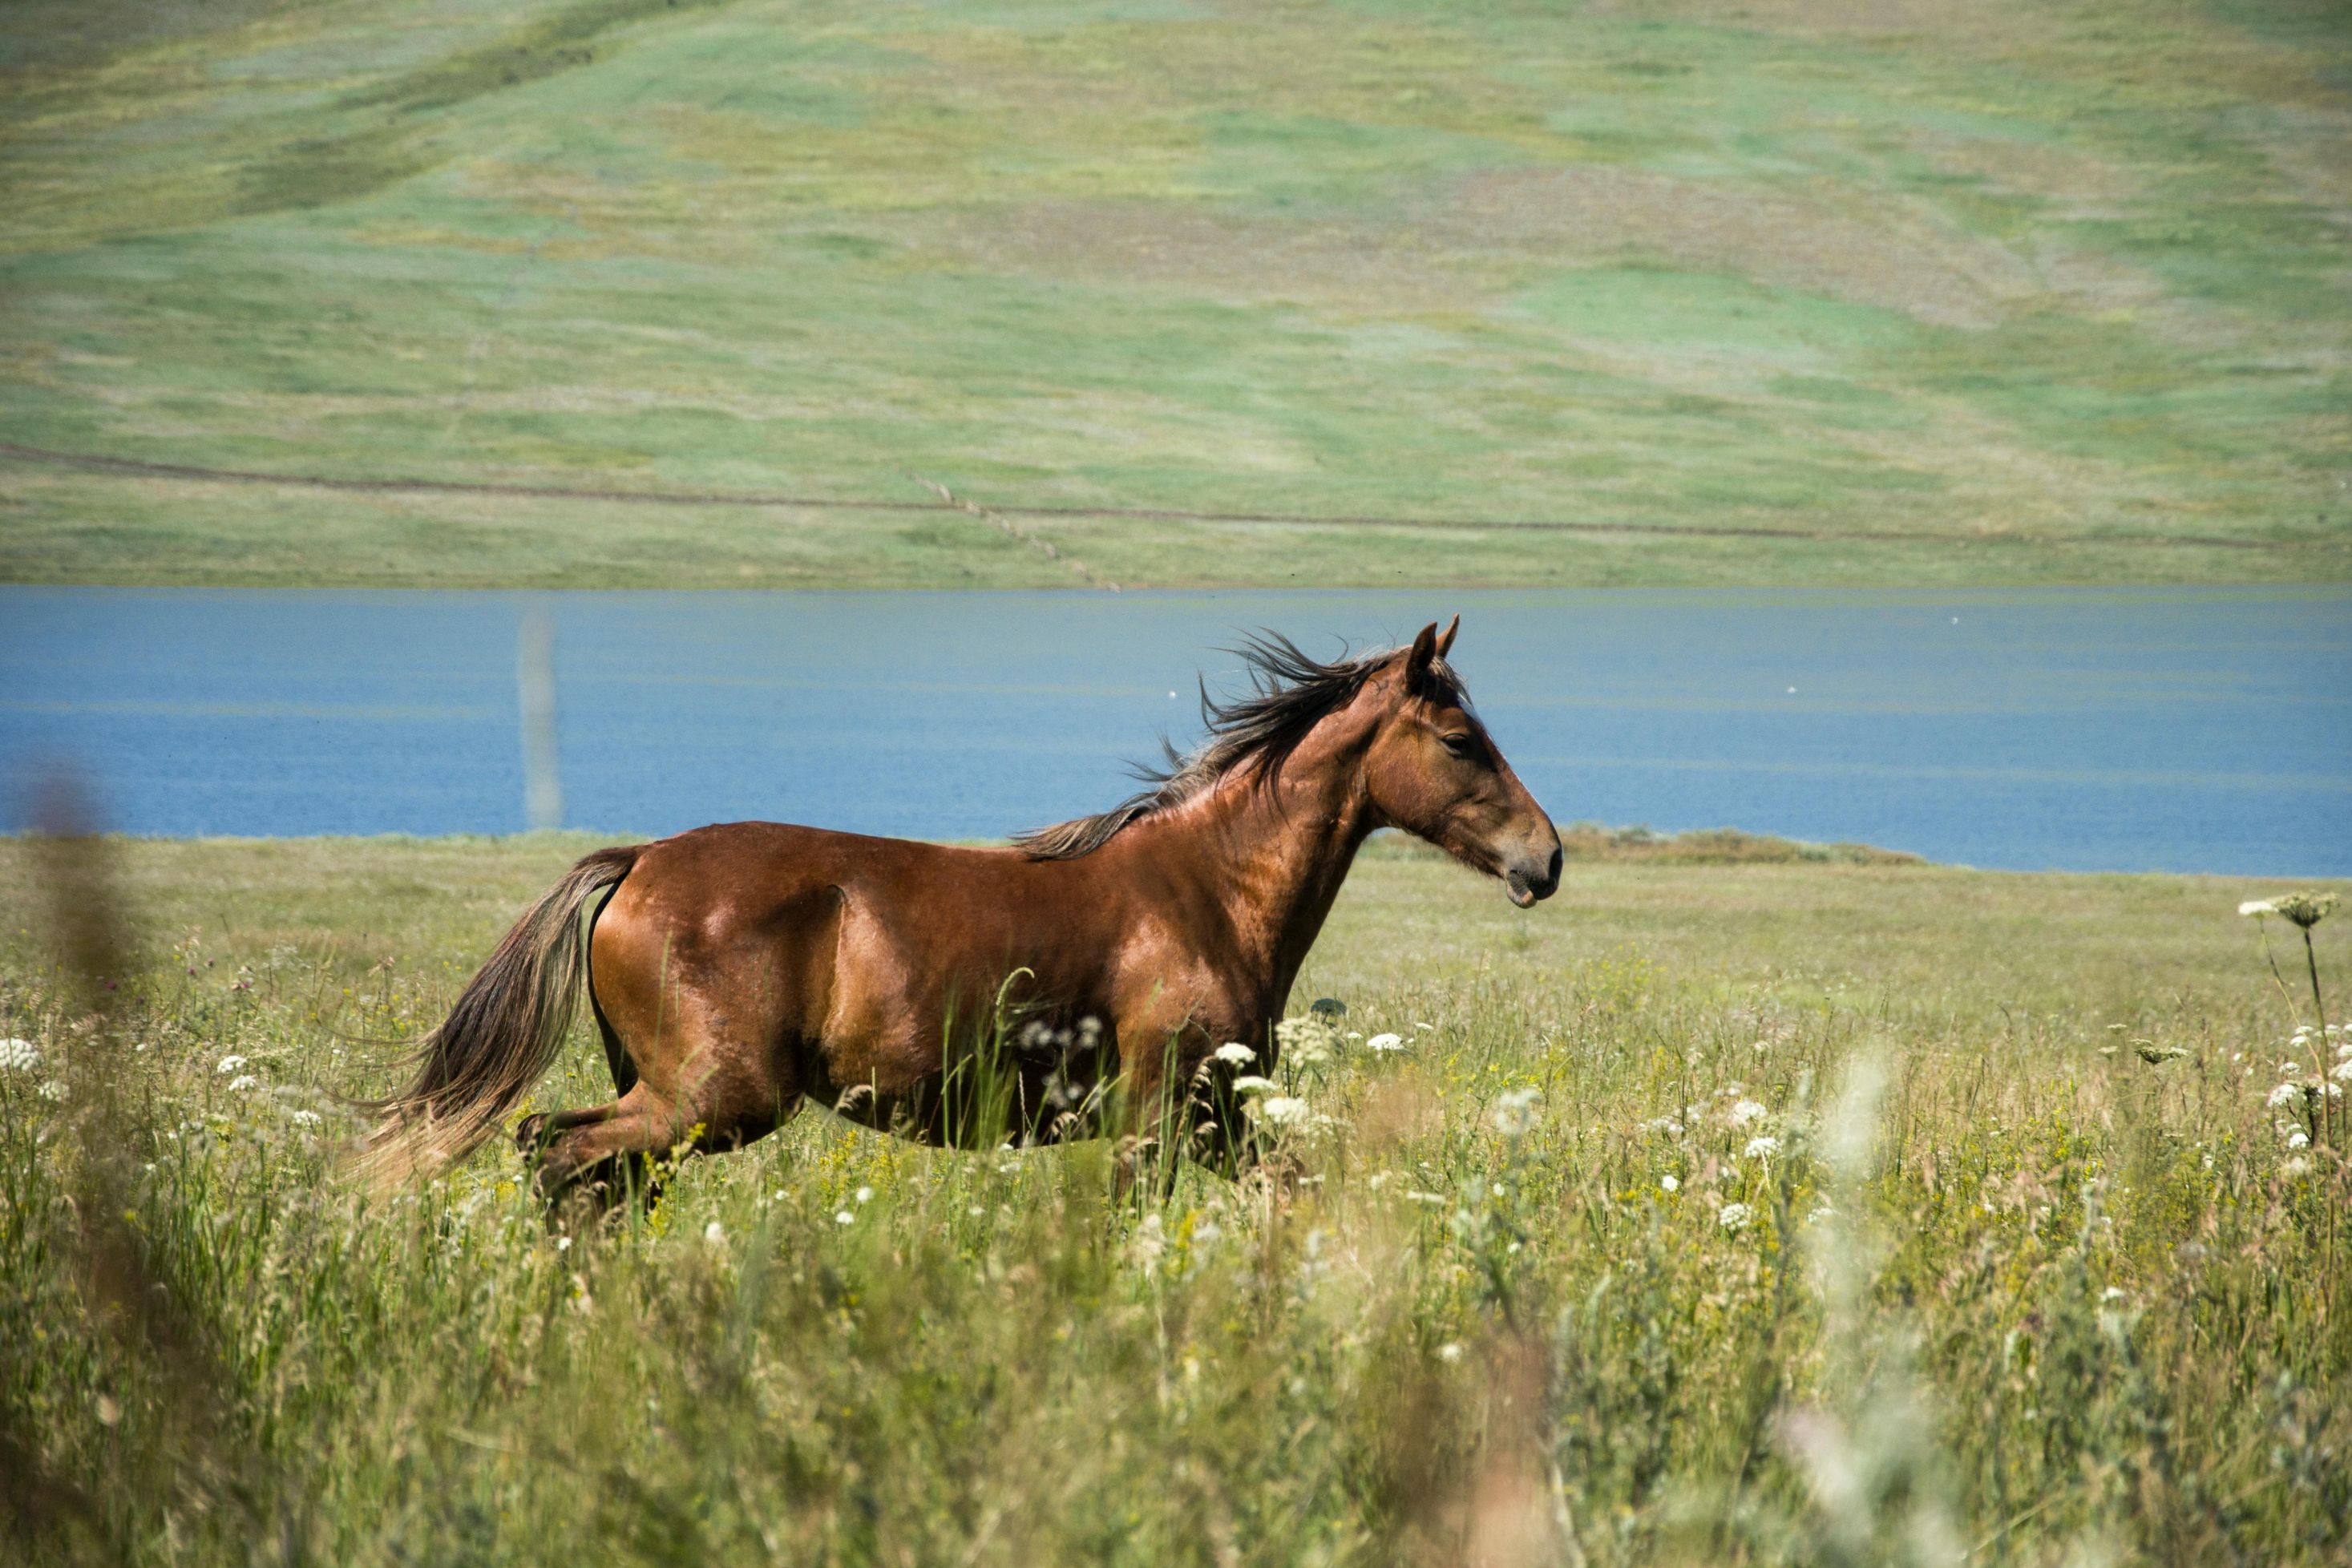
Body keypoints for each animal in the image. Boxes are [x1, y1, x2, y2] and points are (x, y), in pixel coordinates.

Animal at [358, 616, 1562, 1207]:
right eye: (1461, 741)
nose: (1544, 860)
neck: (1205, 894)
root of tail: (639, 862)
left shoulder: (1215, 1123)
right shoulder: (1159, 1120)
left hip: (673, 1101)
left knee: (593, 1178)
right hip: (714, 1100)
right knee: (555, 1155)